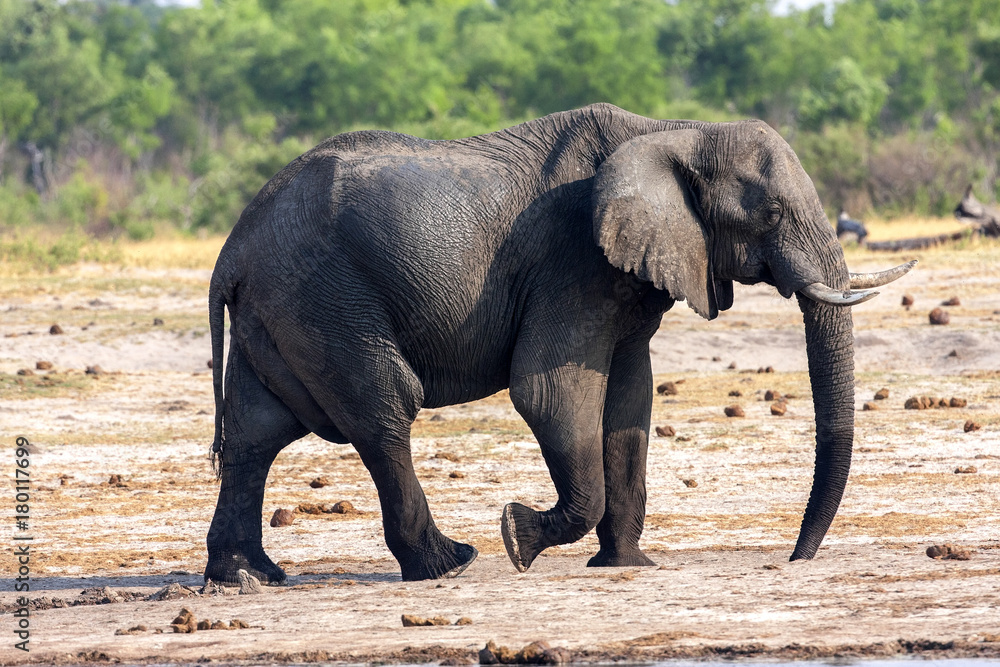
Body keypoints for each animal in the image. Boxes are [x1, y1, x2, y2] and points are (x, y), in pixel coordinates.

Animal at [204, 103, 913, 585]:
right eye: (770, 214)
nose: (794, 558)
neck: (677, 132)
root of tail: (231, 250)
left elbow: (629, 401)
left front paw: (626, 565)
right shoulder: (572, 263)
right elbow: (549, 391)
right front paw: (518, 538)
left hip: (281, 311)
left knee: (254, 433)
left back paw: (247, 576)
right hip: (327, 299)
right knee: (384, 413)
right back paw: (449, 564)